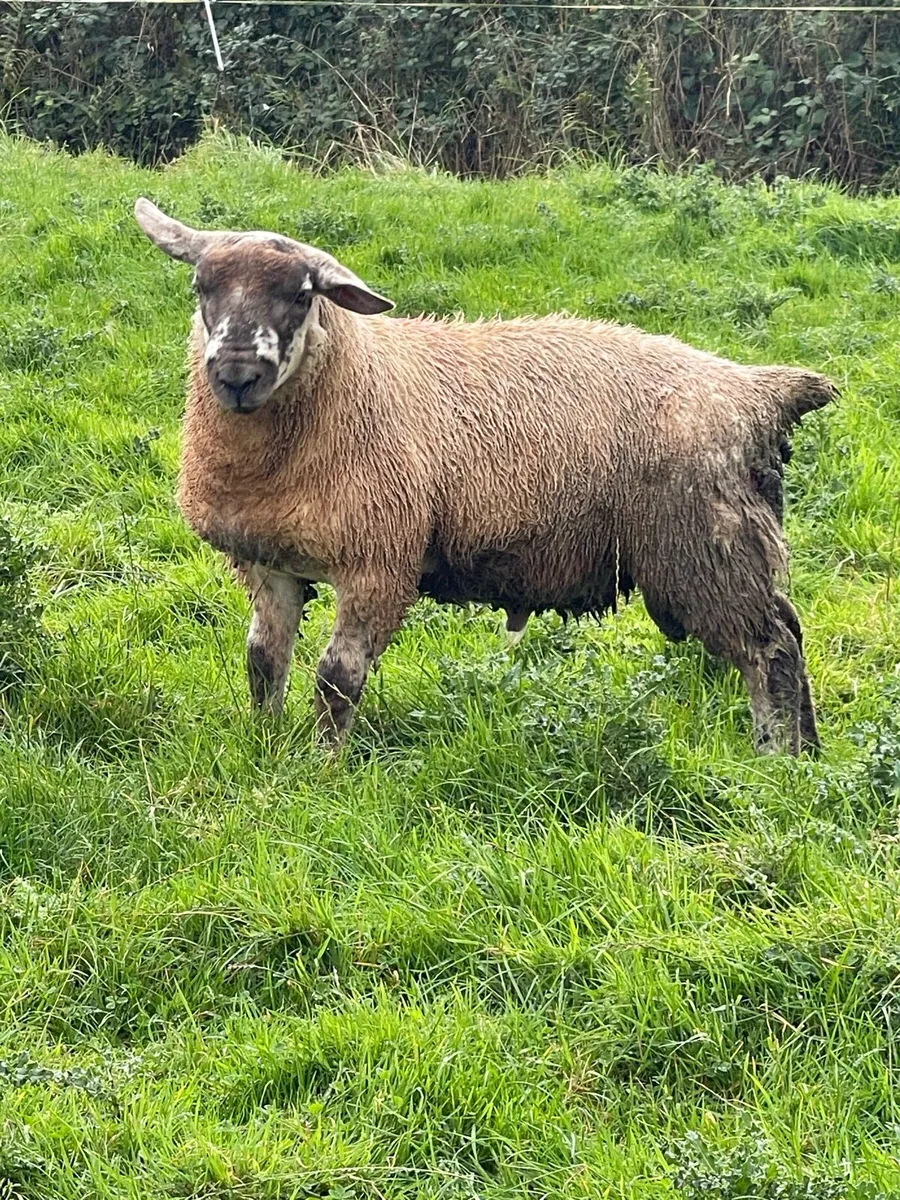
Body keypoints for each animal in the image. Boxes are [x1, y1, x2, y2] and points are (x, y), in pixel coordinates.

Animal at [134, 197, 836, 756]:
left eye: (303, 294)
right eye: (201, 286)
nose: (236, 374)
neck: (351, 381)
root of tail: (758, 392)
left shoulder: (379, 562)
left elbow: (338, 677)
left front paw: (323, 763)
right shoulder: (268, 560)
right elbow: (263, 661)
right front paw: (266, 744)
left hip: (704, 545)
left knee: (770, 650)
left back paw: (773, 760)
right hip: (735, 539)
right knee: (790, 630)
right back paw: (807, 755)